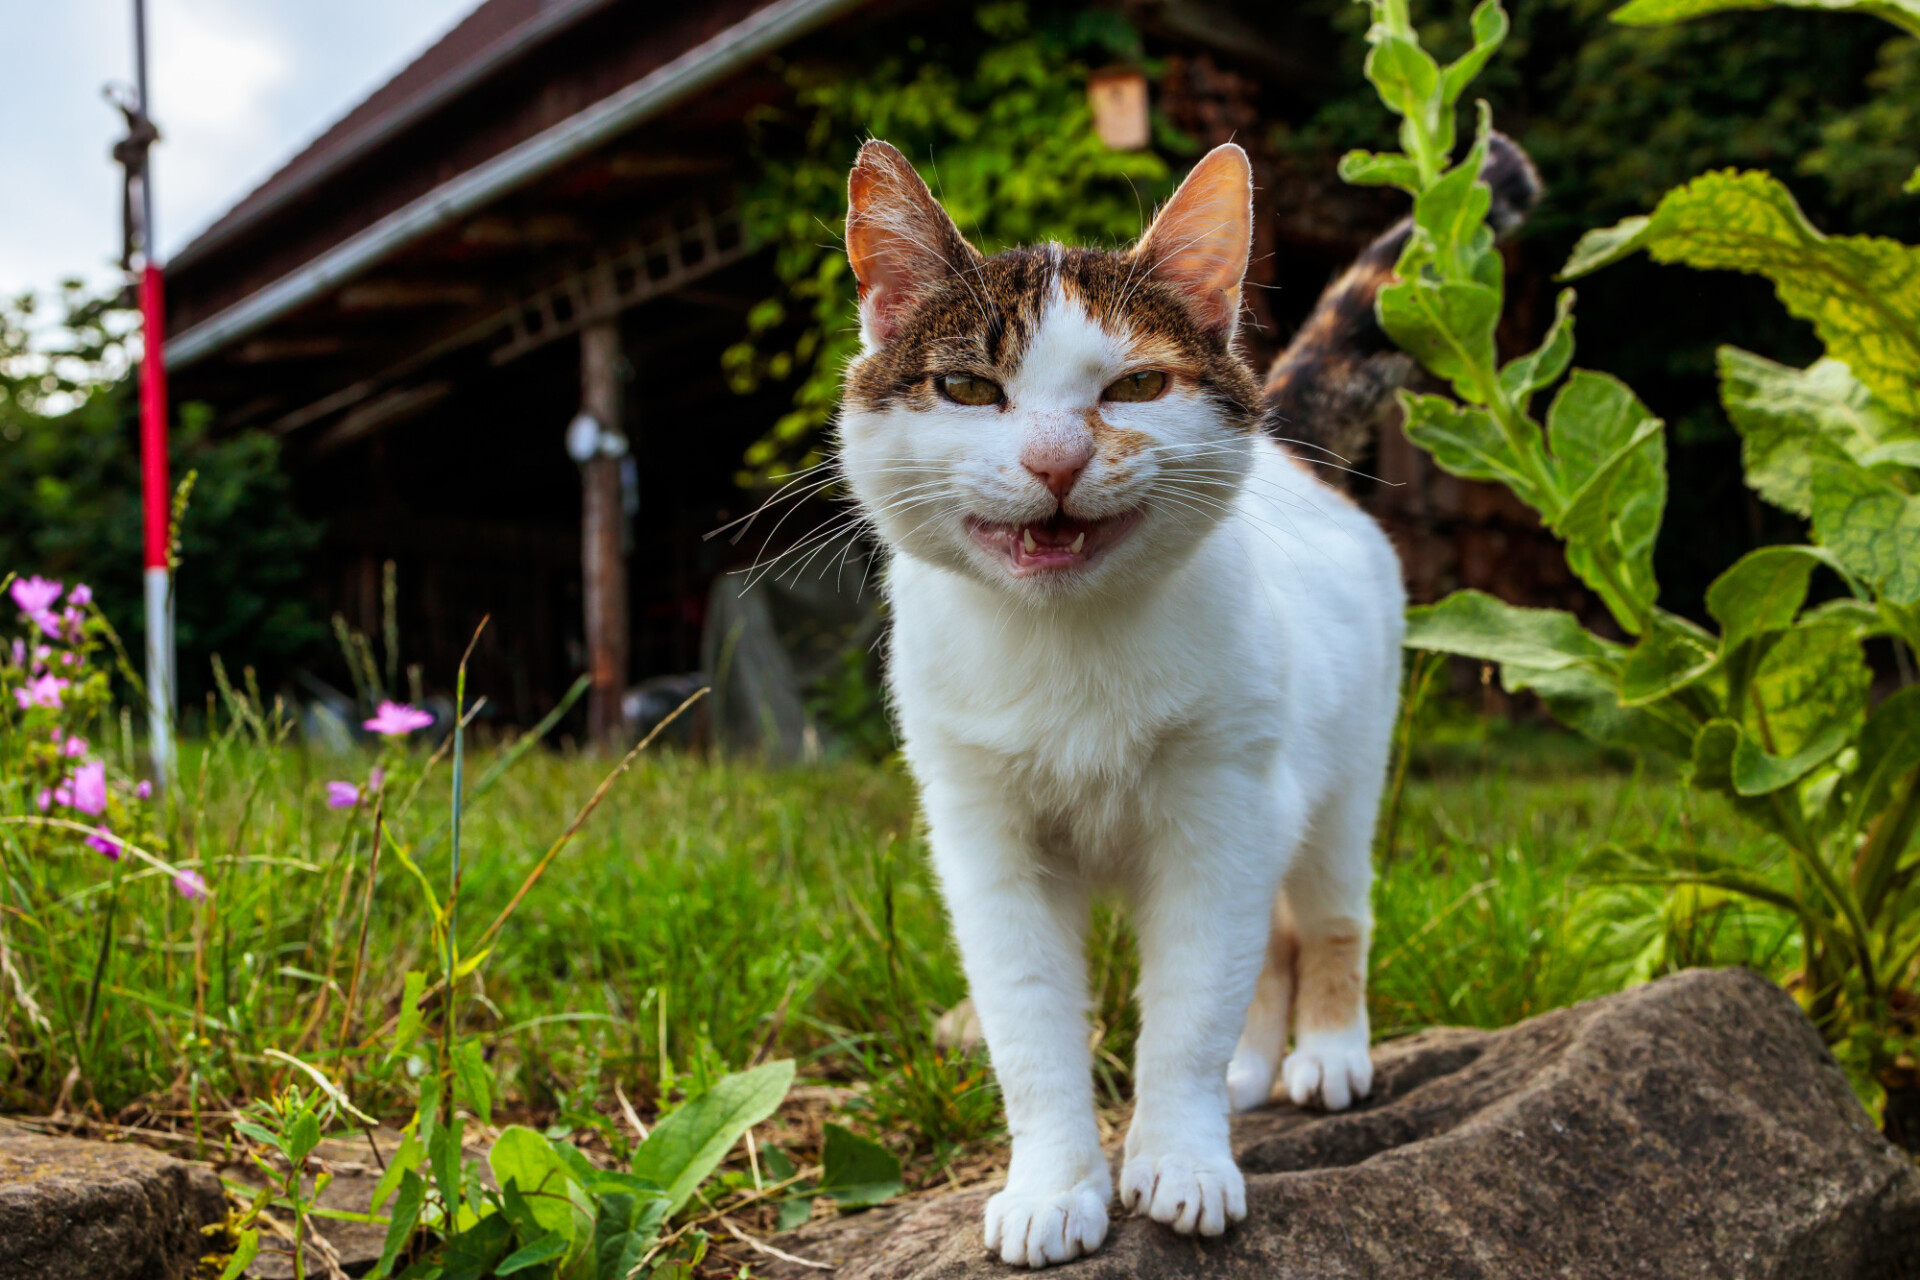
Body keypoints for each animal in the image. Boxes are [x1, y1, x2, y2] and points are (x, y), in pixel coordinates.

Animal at [833, 135, 1520, 1266]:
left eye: (1140, 384)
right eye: (968, 387)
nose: (1055, 460)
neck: (1069, 650)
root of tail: (1292, 457)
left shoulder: (1221, 816)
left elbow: (1192, 1005)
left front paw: (1183, 1161)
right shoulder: (985, 839)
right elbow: (1030, 1027)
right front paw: (1055, 1184)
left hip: (1342, 783)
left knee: (1328, 916)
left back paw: (1326, 1053)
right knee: (1273, 942)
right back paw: (1254, 1069)